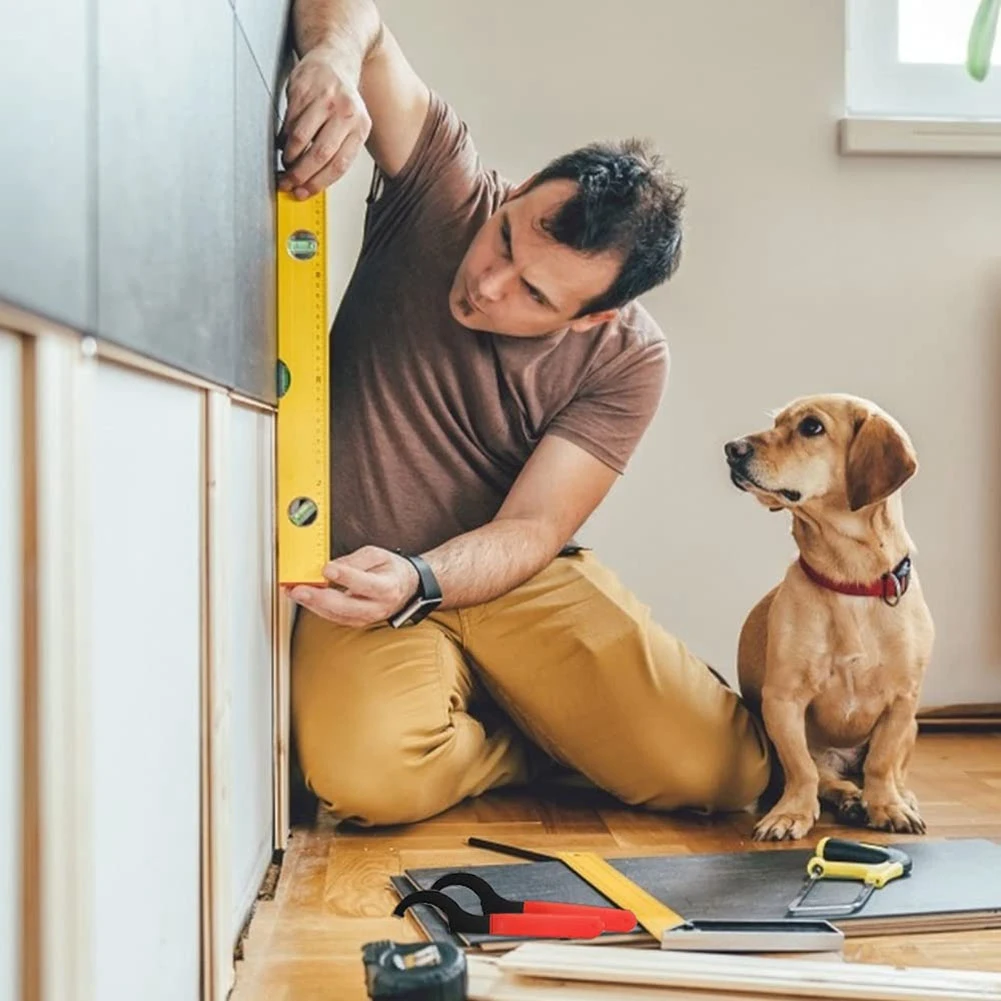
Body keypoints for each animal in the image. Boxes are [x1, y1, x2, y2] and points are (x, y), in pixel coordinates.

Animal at [724, 394, 932, 840]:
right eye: (777, 423)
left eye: (811, 427)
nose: (732, 448)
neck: (850, 580)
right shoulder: (783, 701)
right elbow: (803, 770)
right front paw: (791, 814)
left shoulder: (903, 702)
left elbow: (882, 762)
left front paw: (888, 806)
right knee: (828, 778)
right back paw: (850, 799)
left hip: (912, 727)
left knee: (888, 771)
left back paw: (894, 798)